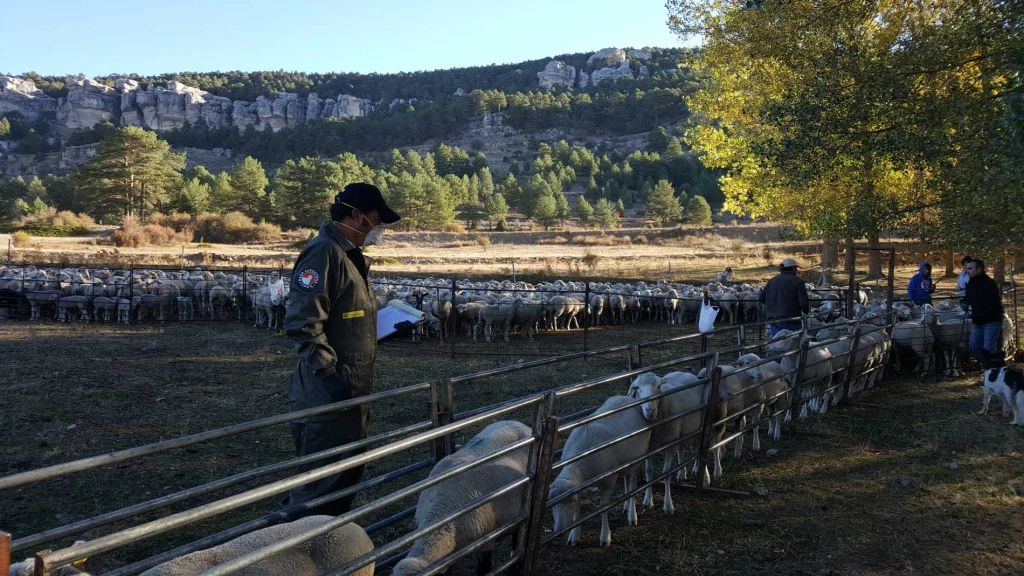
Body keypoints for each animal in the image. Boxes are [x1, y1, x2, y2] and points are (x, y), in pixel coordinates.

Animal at [548, 391, 651, 545]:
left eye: (571, 503)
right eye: (554, 506)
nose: (559, 531)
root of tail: (628, 397)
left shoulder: (609, 481)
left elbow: (603, 507)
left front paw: (605, 537)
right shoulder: (581, 486)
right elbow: (578, 510)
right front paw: (574, 536)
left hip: (638, 459)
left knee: (632, 485)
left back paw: (632, 516)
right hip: (625, 461)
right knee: (627, 482)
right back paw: (626, 506)